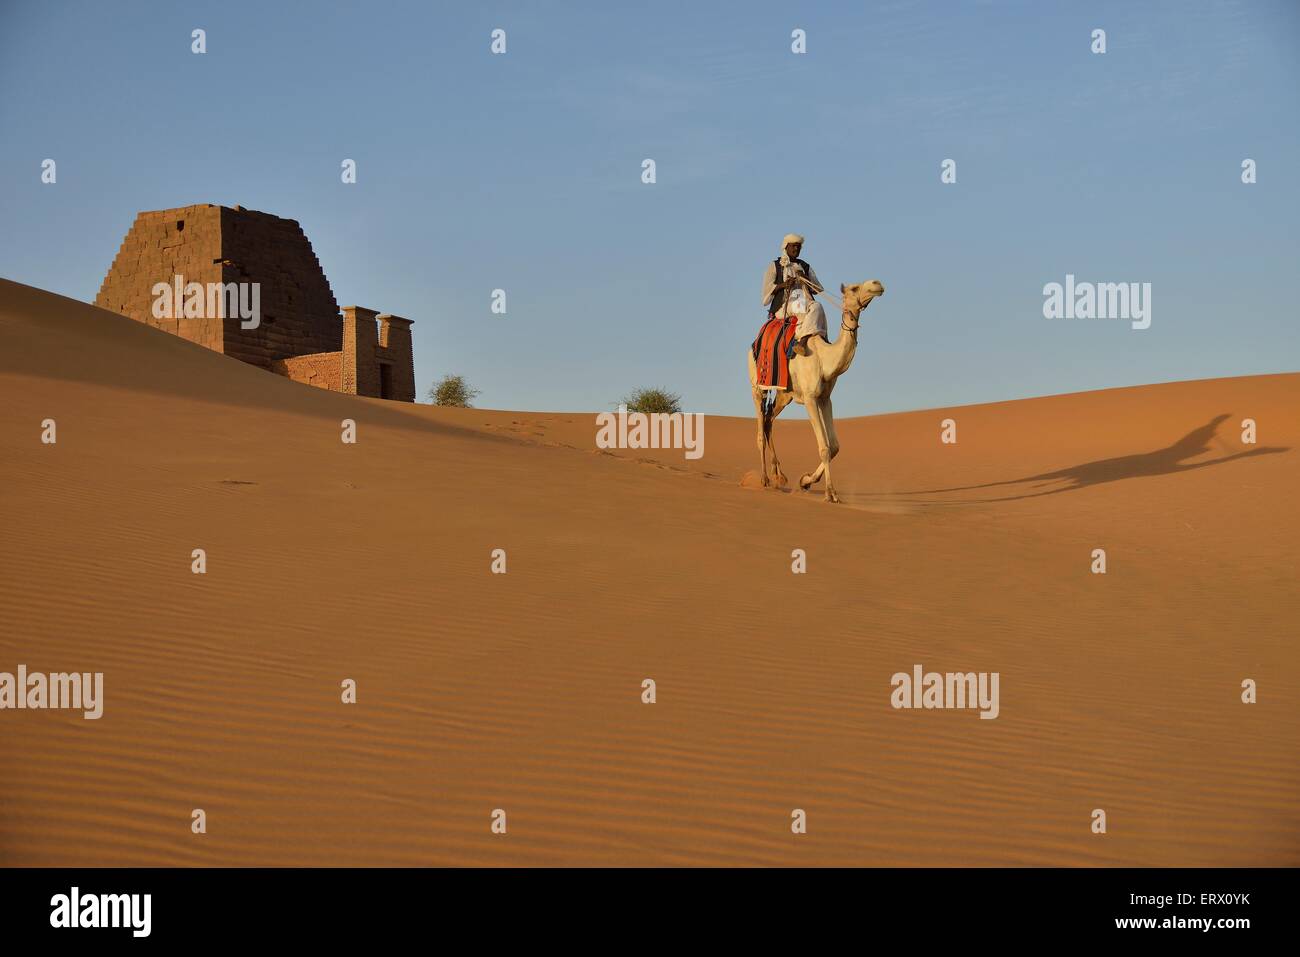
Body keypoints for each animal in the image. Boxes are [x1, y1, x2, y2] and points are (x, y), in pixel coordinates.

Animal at [748, 280, 889, 504]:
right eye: (854, 288)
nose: (877, 284)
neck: (825, 359)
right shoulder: (810, 398)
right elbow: (824, 447)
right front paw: (830, 493)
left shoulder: (825, 398)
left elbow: (834, 447)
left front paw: (805, 481)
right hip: (757, 386)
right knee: (761, 429)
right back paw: (764, 479)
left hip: (784, 395)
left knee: (769, 420)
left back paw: (779, 475)